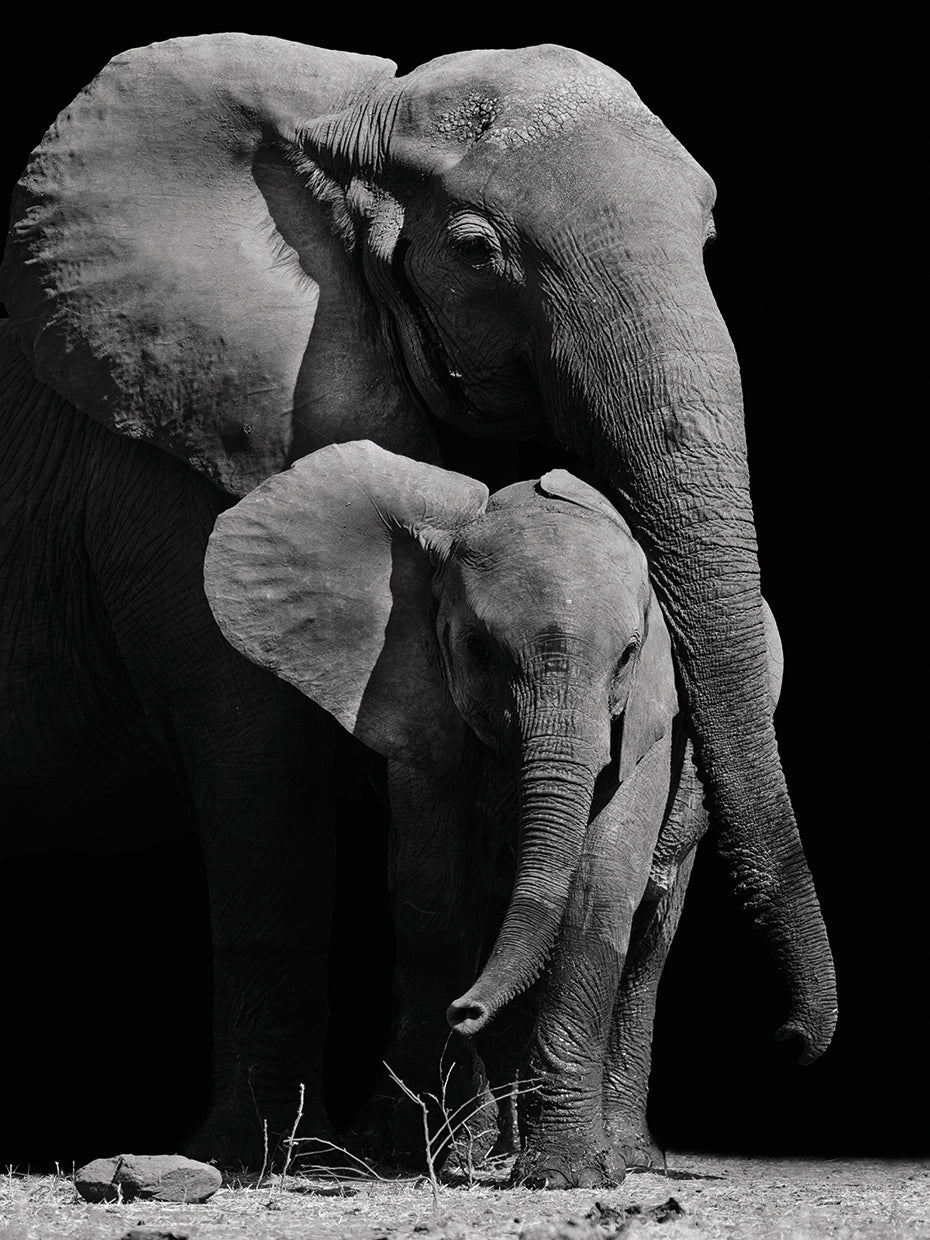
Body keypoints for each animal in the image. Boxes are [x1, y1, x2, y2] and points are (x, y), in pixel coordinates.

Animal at [203, 439, 784, 1186]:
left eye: (629, 656)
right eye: (477, 649)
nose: (466, 1009)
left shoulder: (653, 724)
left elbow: (598, 892)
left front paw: (565, 1174)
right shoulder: (416, 705)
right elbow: (435, 895)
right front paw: (446, 1153)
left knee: (651, 933)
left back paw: (624, 1154)